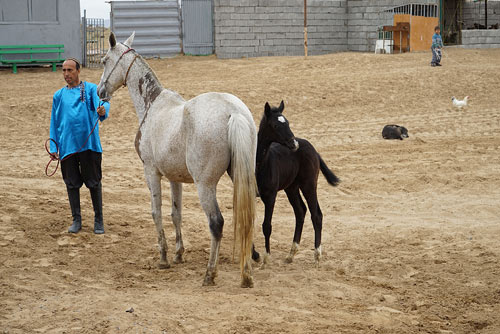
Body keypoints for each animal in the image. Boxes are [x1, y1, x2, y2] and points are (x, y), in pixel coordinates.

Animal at [96, 32, 258, 288]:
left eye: (104, 61)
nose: (100, 91)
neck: (152, 104)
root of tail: (233, 112)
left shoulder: (151, 172)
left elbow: (157, 212)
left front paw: (163, 258)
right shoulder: (174, 177)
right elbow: (176, 213)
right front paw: (179, 254)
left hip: (205, 186)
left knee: (216, 223)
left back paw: (210, 274)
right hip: (241, 176)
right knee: (248, 217)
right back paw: (246, 273)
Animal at [254, 101, 340, 266]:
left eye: (287, 122)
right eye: (275, 125)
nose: (294, 144)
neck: (260, 164)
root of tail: (312, 148)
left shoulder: (270, 196)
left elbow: (266, 225)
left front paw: (266, 258)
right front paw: (253, 255)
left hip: (309, 185)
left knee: (316, 215)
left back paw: (317, 255)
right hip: (291, 188)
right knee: (300, 211)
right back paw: (291, 254)